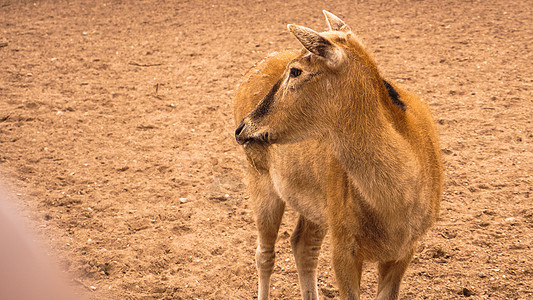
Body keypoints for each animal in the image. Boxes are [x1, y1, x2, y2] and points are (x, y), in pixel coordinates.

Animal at [233, 9, 440, 300]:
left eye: (296, 71)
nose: (243, 127)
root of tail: (248, 73)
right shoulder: (343, 245)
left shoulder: (406, 249)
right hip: (259, 178)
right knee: (264, 254)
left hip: (318, 205)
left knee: (302, 245)